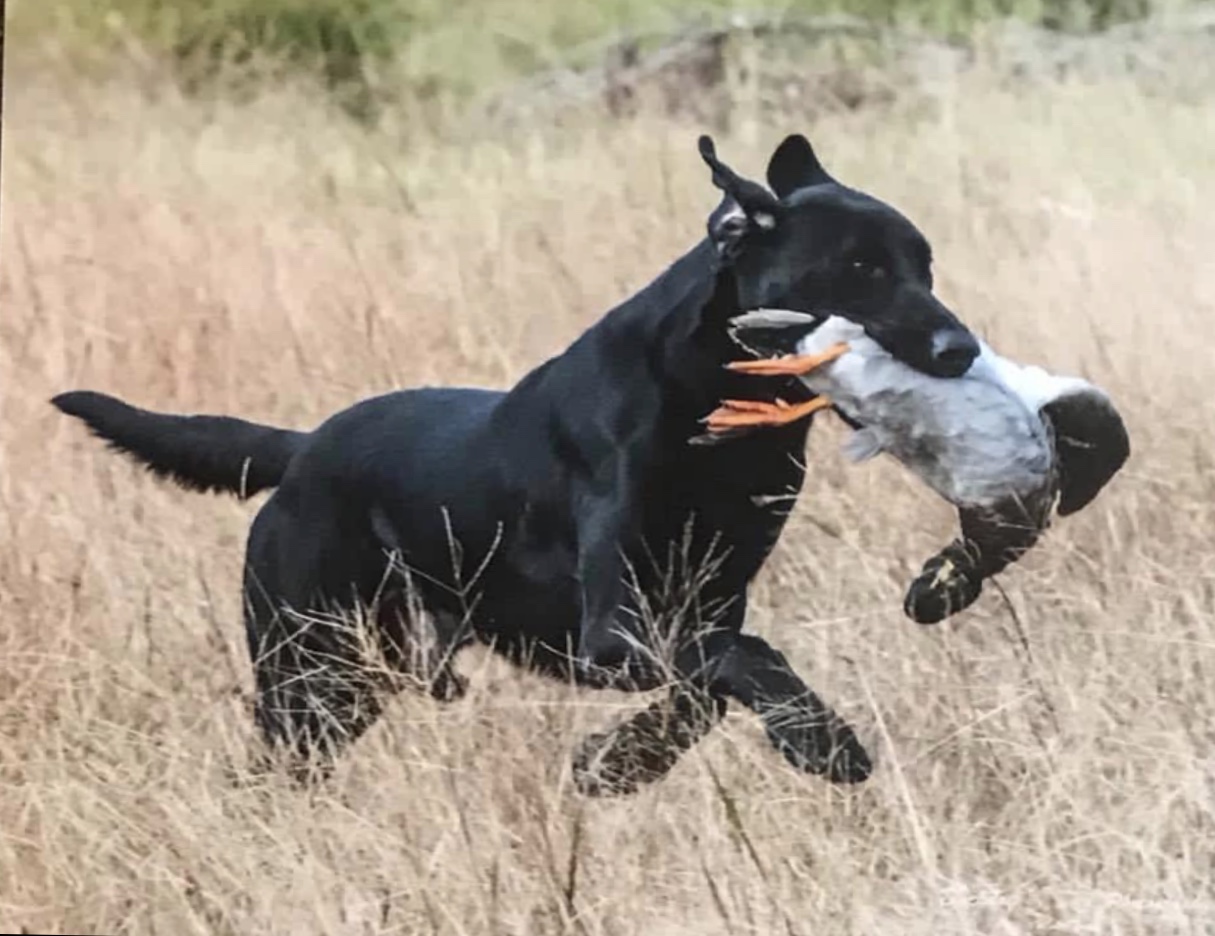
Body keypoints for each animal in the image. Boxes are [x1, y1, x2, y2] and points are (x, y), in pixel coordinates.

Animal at [54, 134, 976, 792]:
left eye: (927, 265)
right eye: (858, 267)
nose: (959, 350)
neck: (710, 405)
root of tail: (304, 448)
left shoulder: (707, 599)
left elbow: (709, 682)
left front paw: (620, 764)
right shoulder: (614, 627)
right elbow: (744, 659)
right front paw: (823, 741)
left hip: (355, 678)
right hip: (310, 671)